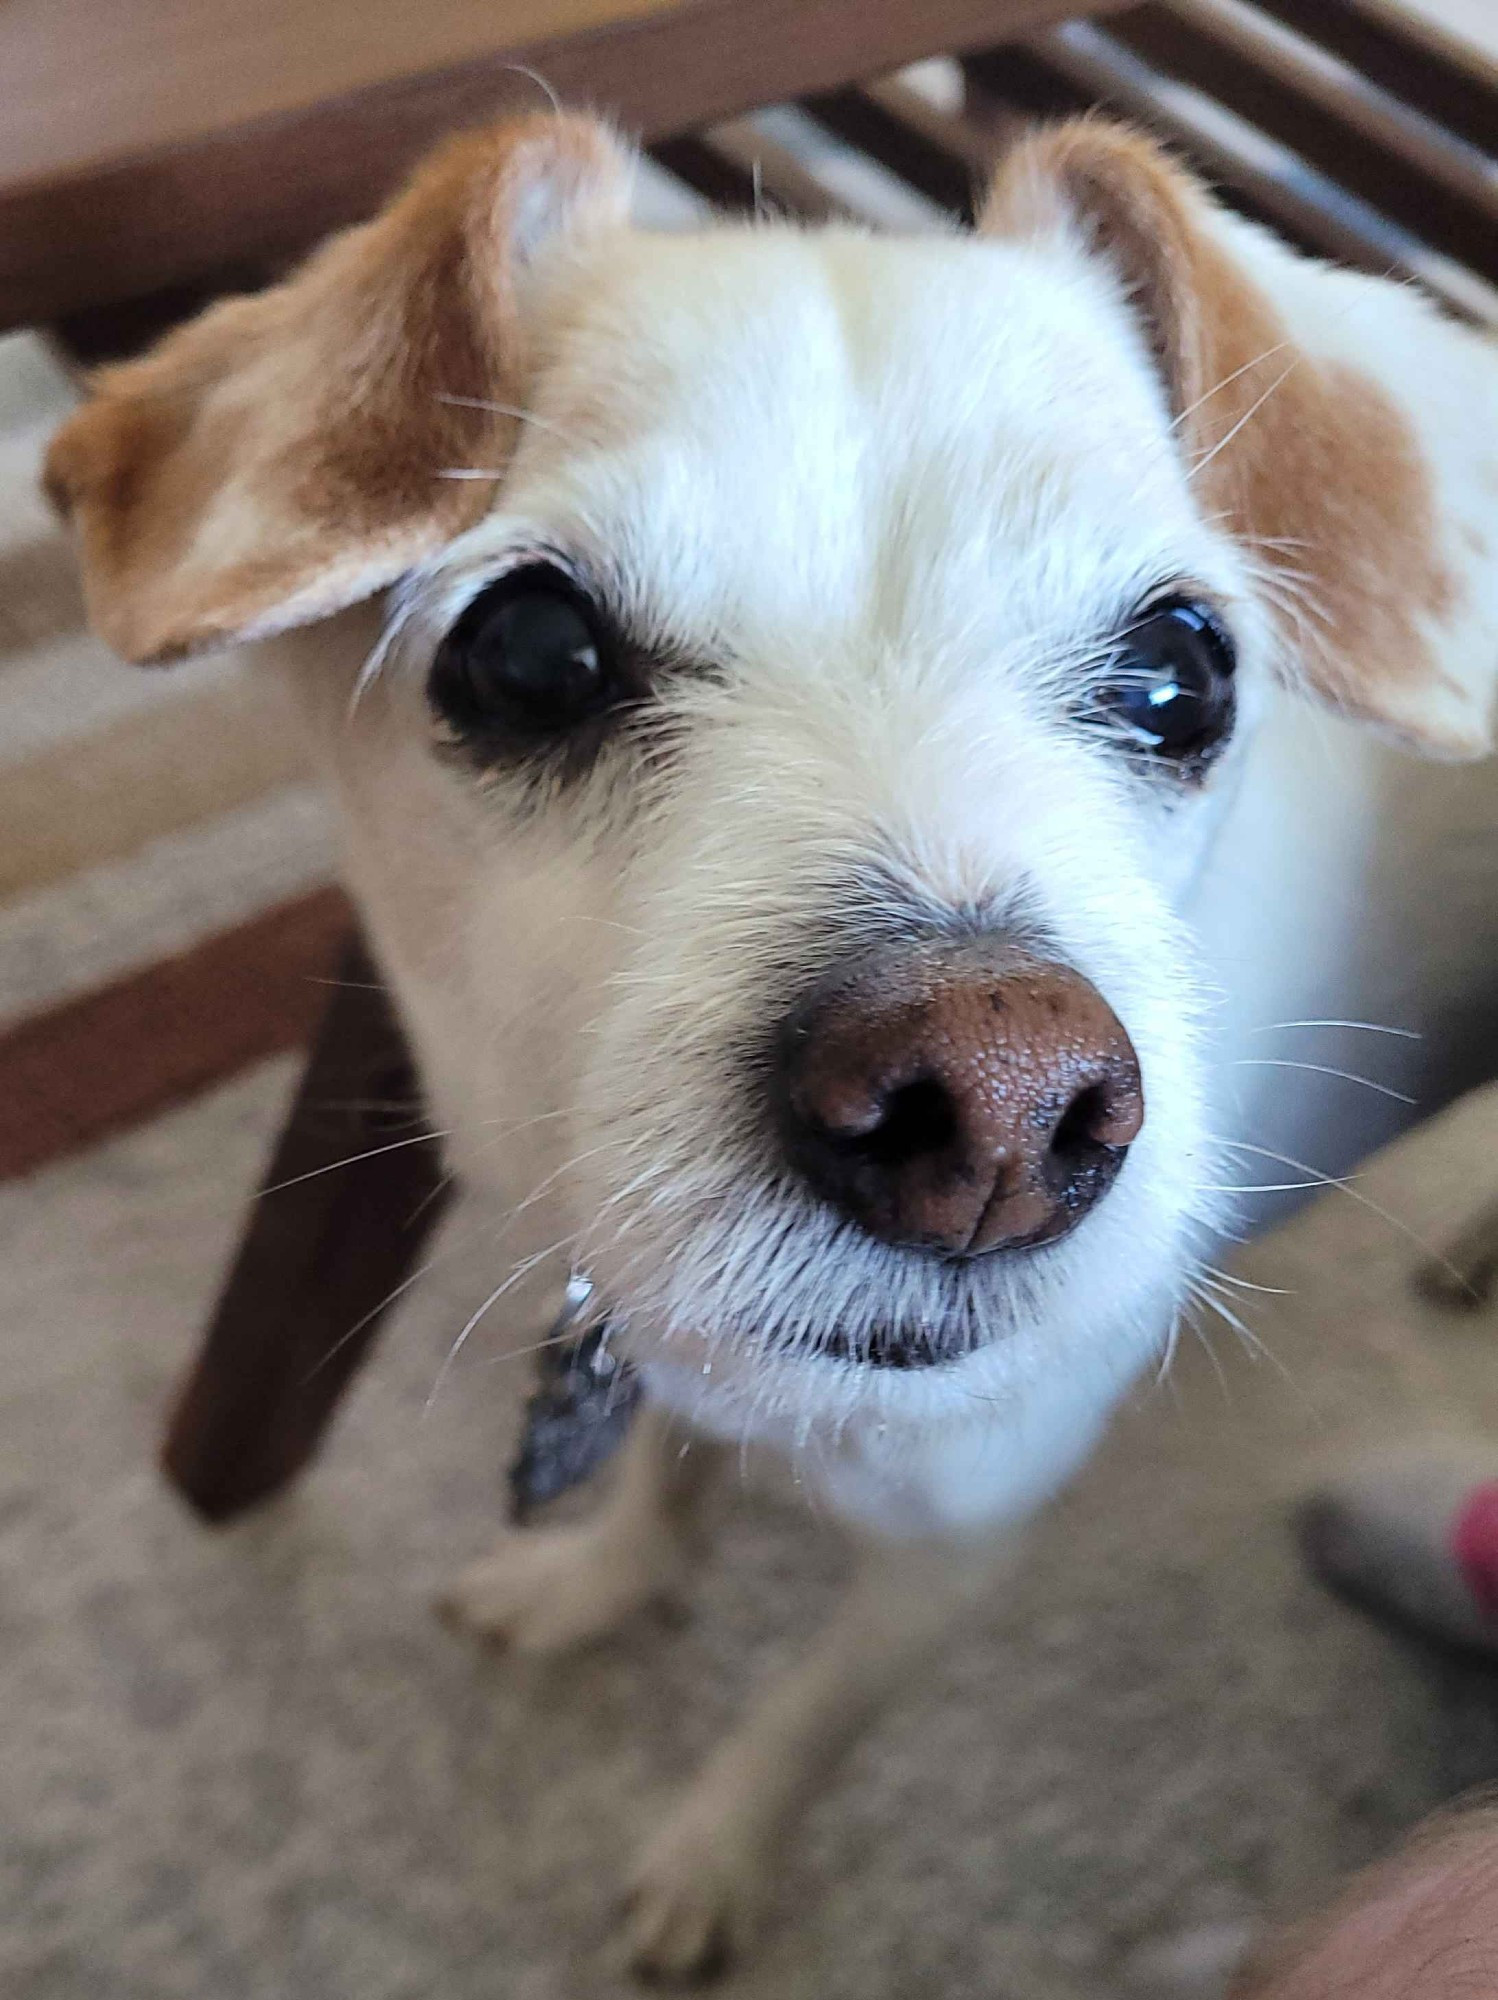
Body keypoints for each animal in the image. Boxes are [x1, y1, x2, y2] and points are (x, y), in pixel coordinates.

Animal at [46, 113, 1496, 1984]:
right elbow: (665, 1475)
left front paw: (712, 1857)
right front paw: (600, 1582)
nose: (998, 1113)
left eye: (1183, 668)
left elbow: (805, 1719)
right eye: (527, 650)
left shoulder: (956, 1548)